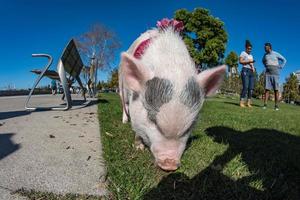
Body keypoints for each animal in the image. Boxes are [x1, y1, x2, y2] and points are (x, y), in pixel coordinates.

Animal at [118, 25, 226, 171]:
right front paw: (138, 148)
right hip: (122, 86)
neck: (170, 64)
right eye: (153, 121)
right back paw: (124, 121)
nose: (170, 164)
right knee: (124, 104)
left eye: (189, 127)